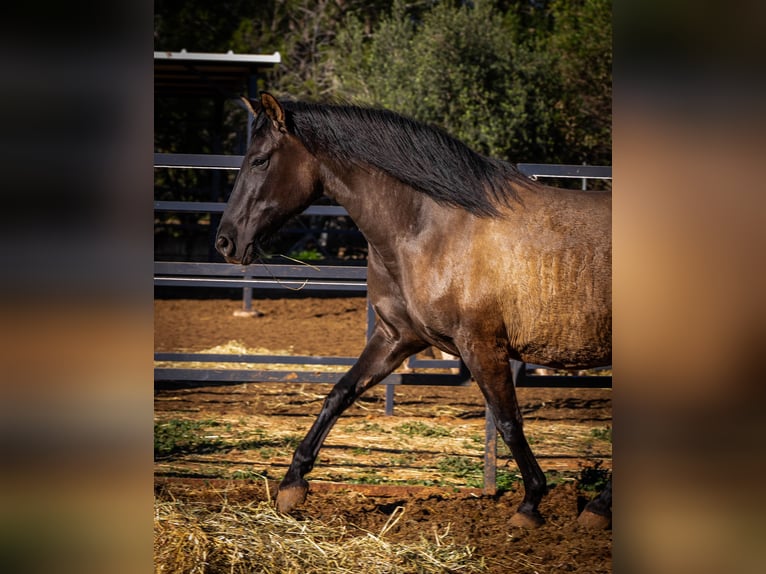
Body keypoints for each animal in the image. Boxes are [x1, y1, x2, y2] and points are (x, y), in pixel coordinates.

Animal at [216, 94, 612, 532]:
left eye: (260, 160)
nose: (225, 241)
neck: (431, 229)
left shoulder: (482, 346)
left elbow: (508, 422)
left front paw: (530, 505)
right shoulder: (397, 337)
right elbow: (339, 394)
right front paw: (291, 486)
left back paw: (596, 509)